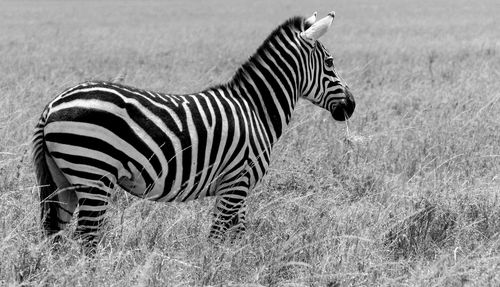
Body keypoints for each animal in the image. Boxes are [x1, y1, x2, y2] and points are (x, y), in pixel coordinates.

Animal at [32, 11, 356, 248]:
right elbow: (217, 238)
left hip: (64, 179)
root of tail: (52, 105)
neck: (256, 109)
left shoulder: (238, 188)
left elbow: (236, 238)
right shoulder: (236, 183)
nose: (351, 106)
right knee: (86, 239)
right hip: (93, 173)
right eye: (330, 63)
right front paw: (213, 271)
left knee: (55, 236)